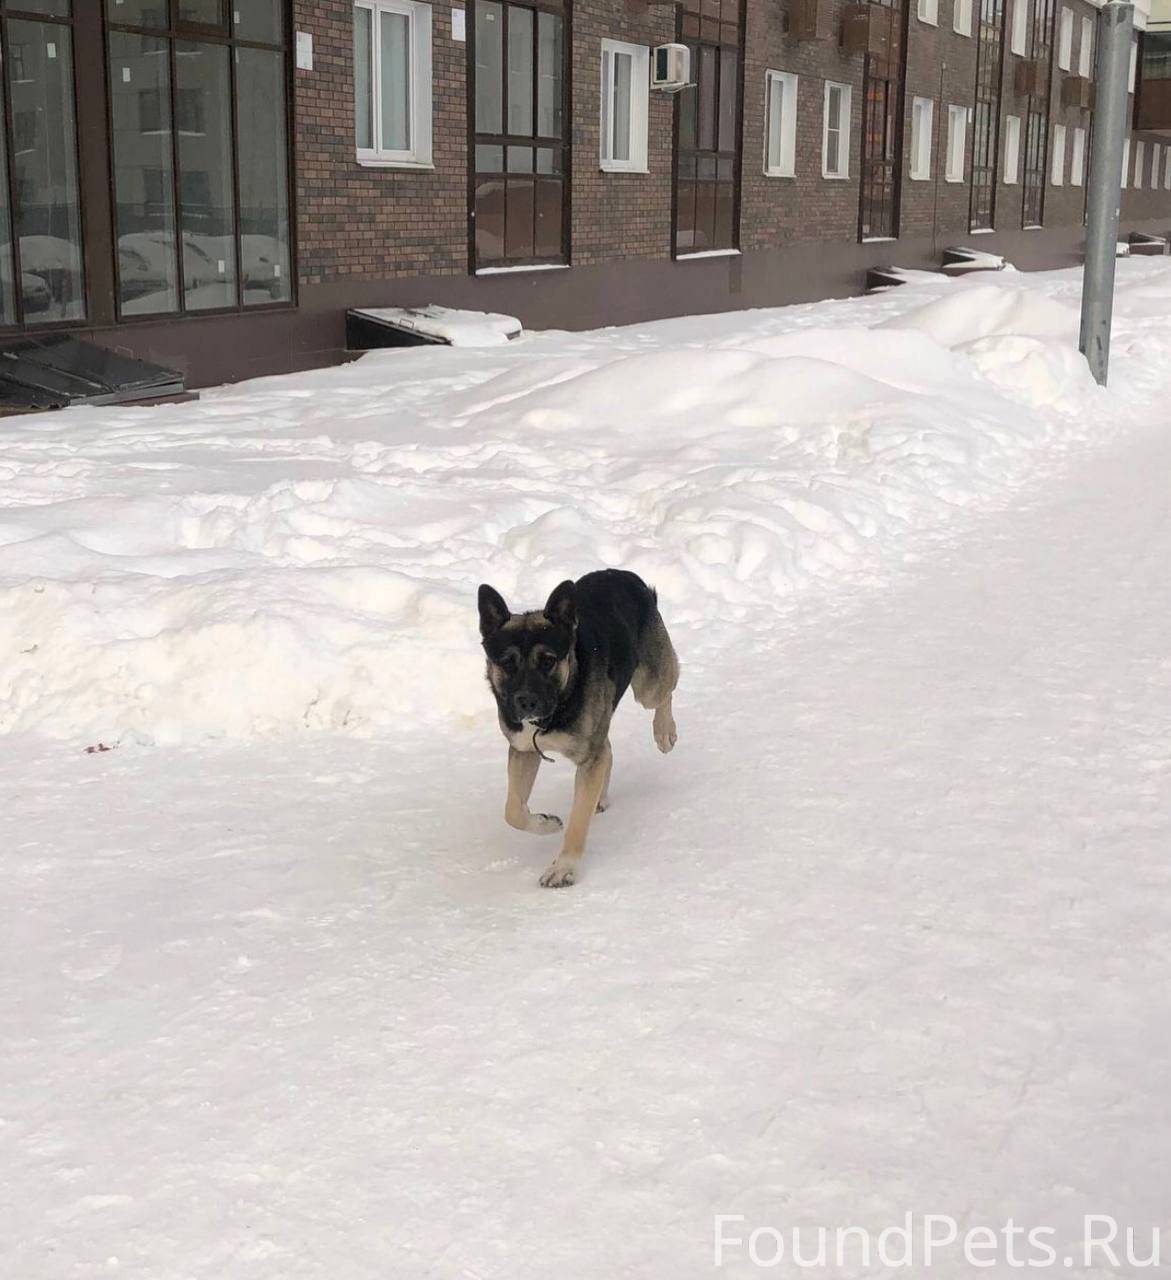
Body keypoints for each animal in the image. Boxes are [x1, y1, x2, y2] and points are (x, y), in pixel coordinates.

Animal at [476, 573, 675, 890]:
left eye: (548, 660)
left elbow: (578, 819)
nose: (526, 702)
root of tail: (625, 575)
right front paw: (544, 822)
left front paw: (564, 867)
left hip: (649, 685)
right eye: (507, 663)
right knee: (607, 749)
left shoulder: (587, 757)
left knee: (664, 692)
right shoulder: (523, 749)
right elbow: (513, 811)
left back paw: (664, 731)